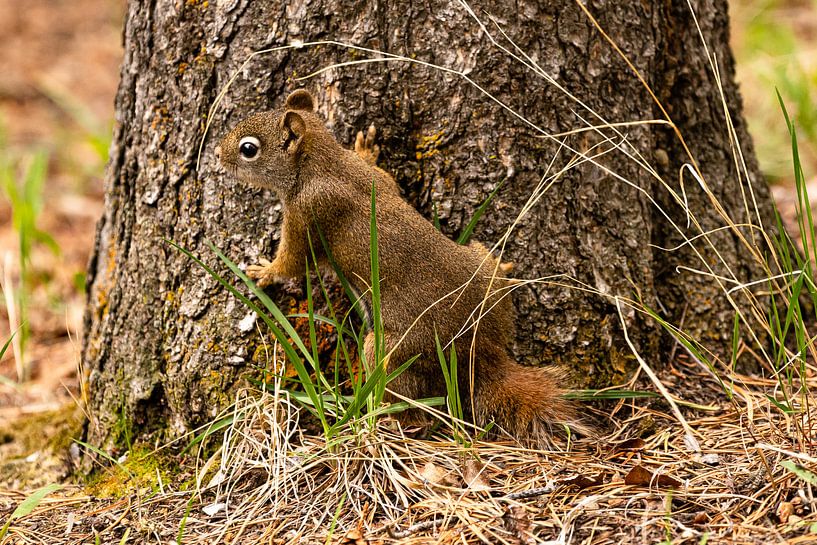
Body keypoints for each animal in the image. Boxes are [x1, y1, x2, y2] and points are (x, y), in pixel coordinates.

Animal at [215, 88, 588, 442]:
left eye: (249, 149)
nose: (218, 155)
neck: (323, 162)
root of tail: (480, 351)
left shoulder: (310, 211)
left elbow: (294, 261)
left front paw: (263, 272)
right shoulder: (373, 178)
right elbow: (383, 175)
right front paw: (366, 148)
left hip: (396, 352)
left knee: (406, 399)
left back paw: (388, 421)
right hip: (481, 276)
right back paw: (501, 266)